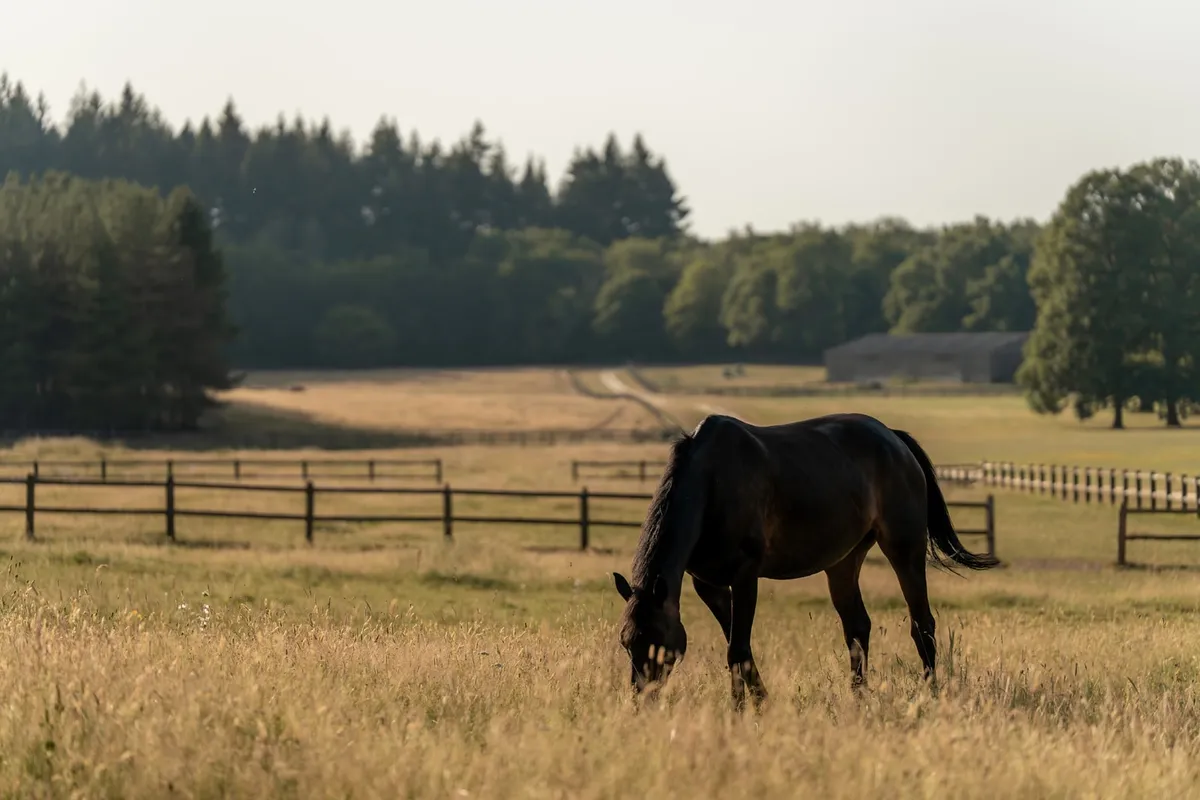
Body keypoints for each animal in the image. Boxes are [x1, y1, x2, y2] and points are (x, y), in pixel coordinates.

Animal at [611, 412, 999, 710]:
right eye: (626, 642)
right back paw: (858, 697)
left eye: (659, 642)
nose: (641, 700)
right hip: (843, 561)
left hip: (905, 549)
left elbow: (737, 648)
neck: (711, 484)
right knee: (857, 627)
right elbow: (738, 648)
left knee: (922, 625)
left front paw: (742, 711)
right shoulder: (709, 584)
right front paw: (756, 702)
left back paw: (929, 693)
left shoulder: (745, 575)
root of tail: (895, 439)